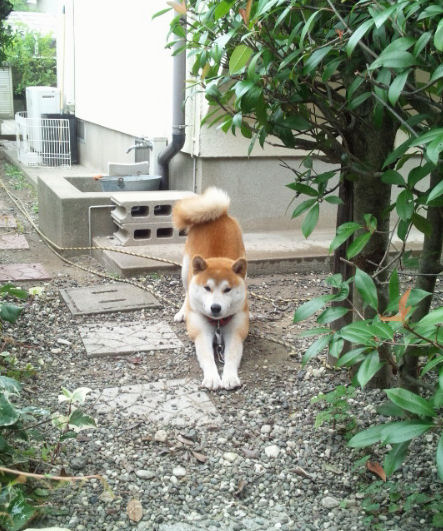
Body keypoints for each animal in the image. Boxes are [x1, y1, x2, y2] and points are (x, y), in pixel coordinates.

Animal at [172, 187, 249, 390]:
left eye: (227, 290)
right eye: (207, 288)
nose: (215, 308)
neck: (217, 324)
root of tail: (220, 214)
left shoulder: (235, 330)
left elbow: (231, 355)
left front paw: (229, 377)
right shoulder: (200, 330)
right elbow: (206, 356)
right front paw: (213, 378)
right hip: (186, 269)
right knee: (186, 293)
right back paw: (182, 312)